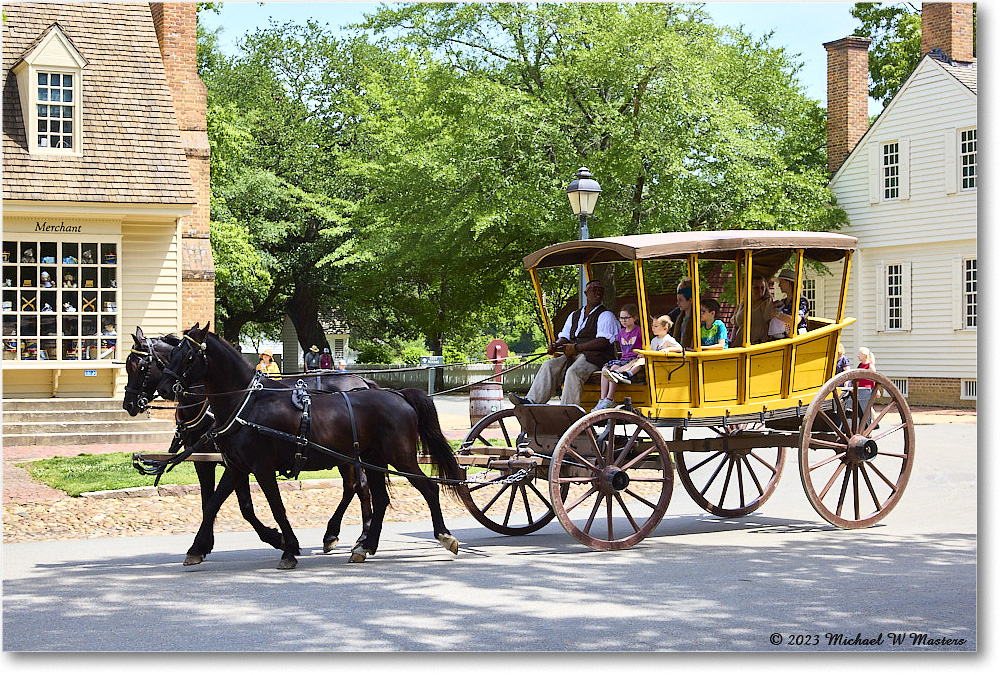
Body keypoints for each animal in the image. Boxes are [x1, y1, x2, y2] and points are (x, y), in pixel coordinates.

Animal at [121, 328, 376, 564]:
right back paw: (341, 535)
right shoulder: (210, 463)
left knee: (360, 486)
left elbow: (245, 506)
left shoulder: (240, 464)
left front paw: (278, 539)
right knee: (353, 487)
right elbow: (209, 502)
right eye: (127, 366)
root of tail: (362, 381)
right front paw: (202, 544)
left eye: (141, 367)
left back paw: (359, 536)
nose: (129, 404)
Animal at [157, 324, 464, 568]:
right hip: (373, 459)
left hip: (400, 457)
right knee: (378, 498)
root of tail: (397, 394)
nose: (164, 386)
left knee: (428, 489)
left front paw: (288, 548)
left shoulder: (261, 467)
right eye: (171, 355)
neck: (248, 403)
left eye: (188, 355)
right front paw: (196, 549)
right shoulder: (236, 466)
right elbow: (213, 504)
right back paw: (364, 546)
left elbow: (276, 507)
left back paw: (444, 535)